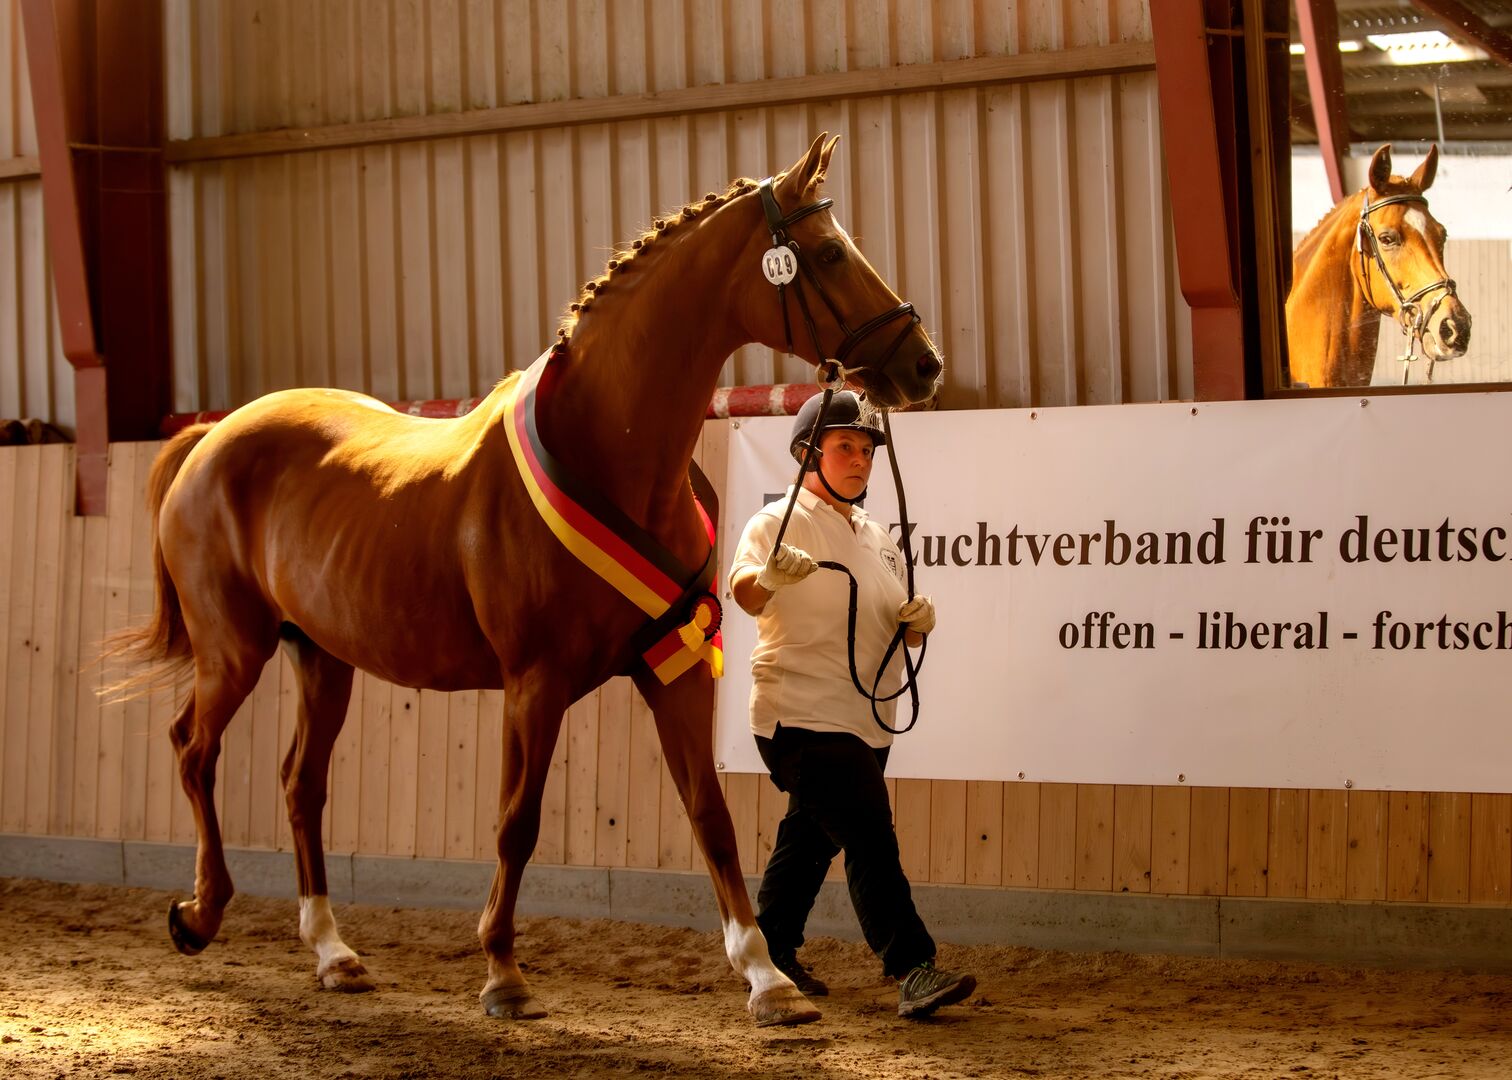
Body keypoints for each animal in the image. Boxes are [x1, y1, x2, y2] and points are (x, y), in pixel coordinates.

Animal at [107, 133, 943, 1026]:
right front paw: (503, 973)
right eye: (828, 253)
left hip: (322, 656)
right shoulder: (533, 683)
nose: (924, 365)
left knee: (302, 785)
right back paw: (200, 915)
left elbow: (709, 815)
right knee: (194, 749)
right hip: (235, 648)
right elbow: (518, 821)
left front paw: (766, 976)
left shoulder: (674, 667)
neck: (608, 457)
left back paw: (333, 953)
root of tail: (208, 439)